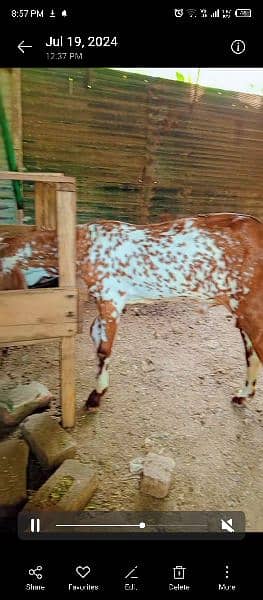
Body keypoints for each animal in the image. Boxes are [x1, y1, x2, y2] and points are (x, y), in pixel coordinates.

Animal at [0, 213, 263, 410]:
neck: (83, 244)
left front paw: (96, 396)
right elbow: (95, 335)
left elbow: (104, 349)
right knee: (251, 355)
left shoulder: (110, 298)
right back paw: (243, 395)